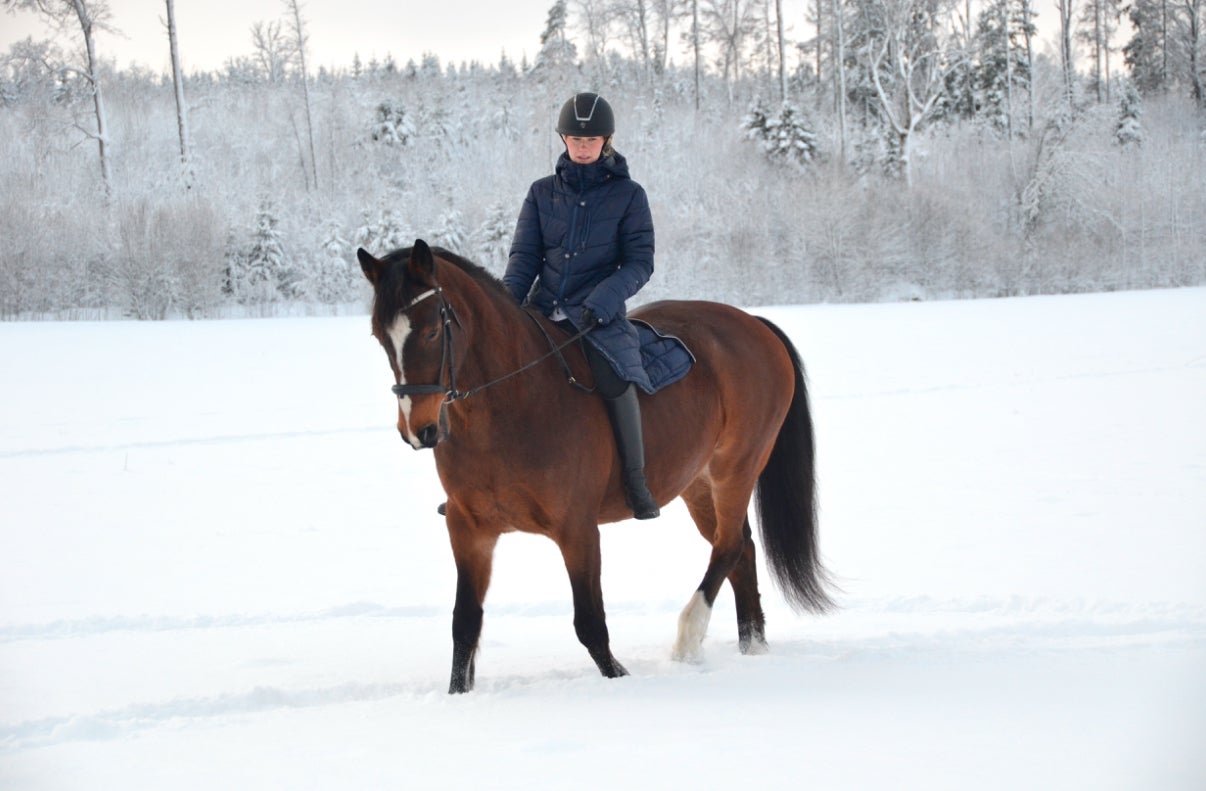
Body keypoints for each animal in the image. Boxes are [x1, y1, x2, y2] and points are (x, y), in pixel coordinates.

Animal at [352, 239, 834, 694]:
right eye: (379, 336)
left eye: (433, 331)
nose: (419, 430)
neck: (508, 406)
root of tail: (753, 323)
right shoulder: (469, 529)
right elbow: (465, 624)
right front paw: (458, 696)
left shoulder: (577, 529)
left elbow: (589, 624)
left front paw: (618, 680)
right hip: (697, 483)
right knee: (741, 549)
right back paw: (752, 644)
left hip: (736, 467)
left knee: (730, 546)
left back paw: (689, 637)